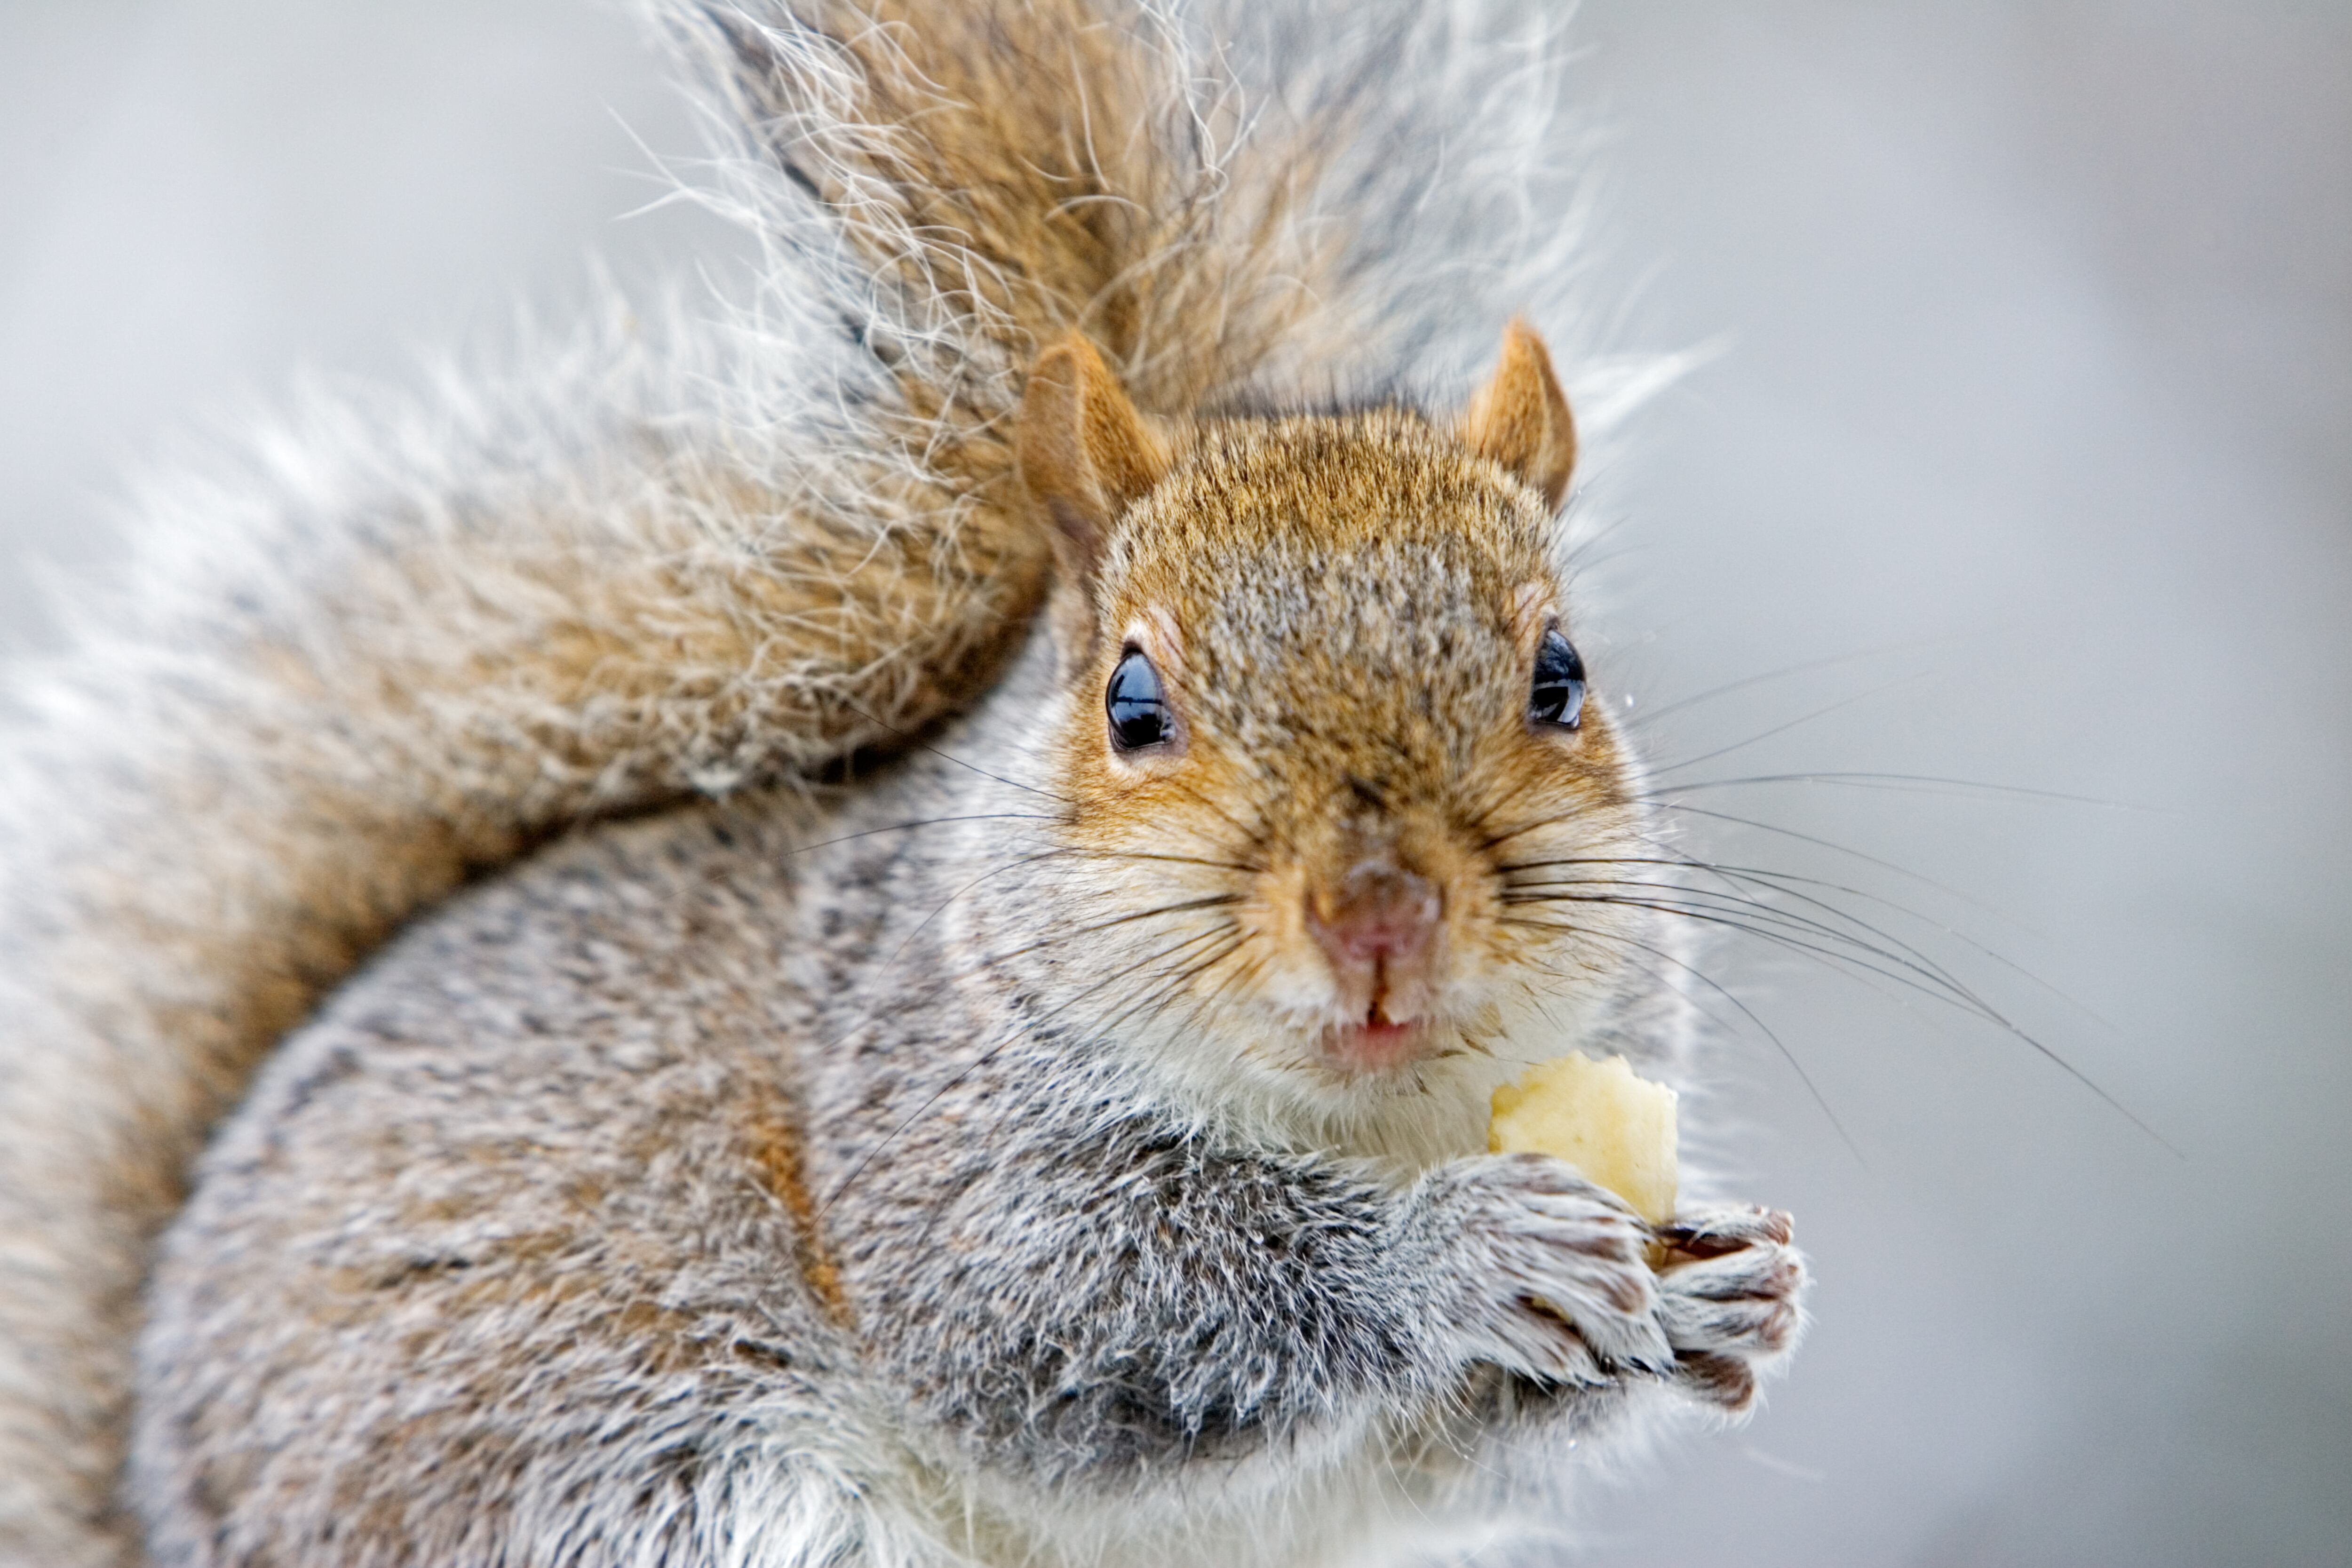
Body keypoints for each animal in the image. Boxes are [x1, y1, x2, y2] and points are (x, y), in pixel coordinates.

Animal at [0, 2, 1806, 1564]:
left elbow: (1456, 1442)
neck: (1370, 1122)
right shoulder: (921, 1132)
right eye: (1131, 702)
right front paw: (1458, 1249)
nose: (1380, 920)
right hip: (646, 1488)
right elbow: (1080, 1308)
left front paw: (1718, 1293)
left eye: (1559, 676)